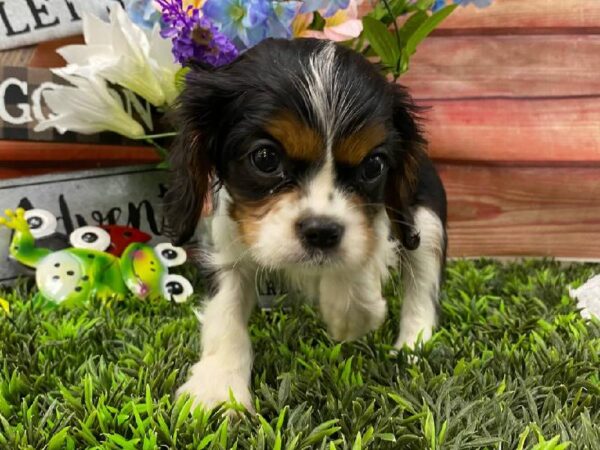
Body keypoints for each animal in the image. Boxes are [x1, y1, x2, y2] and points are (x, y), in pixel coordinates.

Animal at [163, 38, 446, 412]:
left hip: (424, 224)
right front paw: (219, 388)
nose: (322, 231)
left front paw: (351, 316)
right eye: (265, 158)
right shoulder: (224, 246)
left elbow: (363, 254)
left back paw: (412, 348)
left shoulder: (383, 219)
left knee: (422, 287)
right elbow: (226, 312)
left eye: (374, 166)